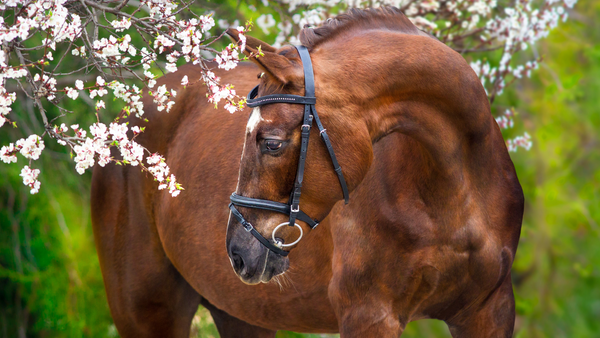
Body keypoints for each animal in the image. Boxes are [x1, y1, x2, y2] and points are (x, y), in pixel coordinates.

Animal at [90, 7, 524, 338]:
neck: (452, 190)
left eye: (271, 143)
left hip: (242, 314)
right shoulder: (369, 315)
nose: (236, 252)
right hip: (147, 311)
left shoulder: (488, 312)